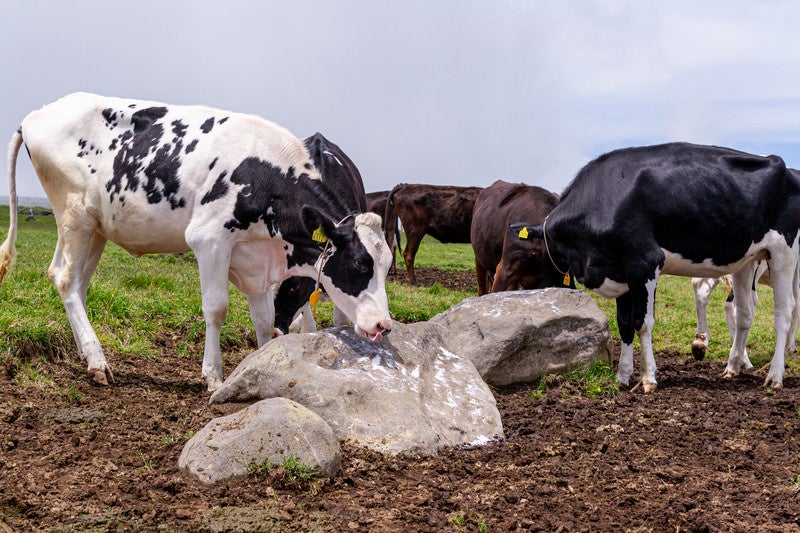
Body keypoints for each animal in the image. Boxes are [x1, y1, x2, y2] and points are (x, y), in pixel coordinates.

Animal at [0, 91, 394, 390]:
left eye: (386, 266)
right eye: (360, 263)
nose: (383, 326)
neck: (267, 178)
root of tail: (37, 115)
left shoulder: (256, 260)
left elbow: (264, 320)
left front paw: (261, 367)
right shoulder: (210, 239)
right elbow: (216, 309)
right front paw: (214, 376)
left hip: (96, 226)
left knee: (74, 282)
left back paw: (87, 352)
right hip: (74, 214)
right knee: (65, 278)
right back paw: (97, 361)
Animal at [512, 141, 800, 390]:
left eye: (534, 256)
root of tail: (786, 167)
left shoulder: (645, 263)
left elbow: (642, 323)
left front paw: (648, 377)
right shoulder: (623, 273)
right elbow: (624, 323)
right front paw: (623, 376)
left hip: (783, 253)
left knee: (785, 312)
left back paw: (775, 375)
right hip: (748, 260)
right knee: (744, 313)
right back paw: (732, 367)